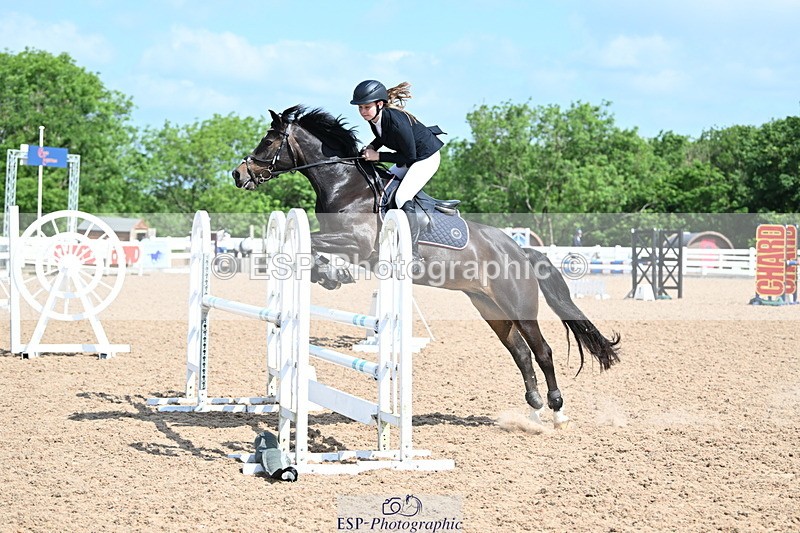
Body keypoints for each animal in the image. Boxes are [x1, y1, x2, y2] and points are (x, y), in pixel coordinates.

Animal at [232, 105, 620, 428]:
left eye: (269, 140)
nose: (238, 174)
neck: (346, 186)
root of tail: (520, 251)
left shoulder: (358, 243)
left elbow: (310, 244)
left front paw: (330, 273)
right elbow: (308, 249)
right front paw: (330, 274)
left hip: (519, 306)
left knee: (542, 352)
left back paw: (557, 411)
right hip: (490, 308)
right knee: (522, 354)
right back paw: (535, 408)